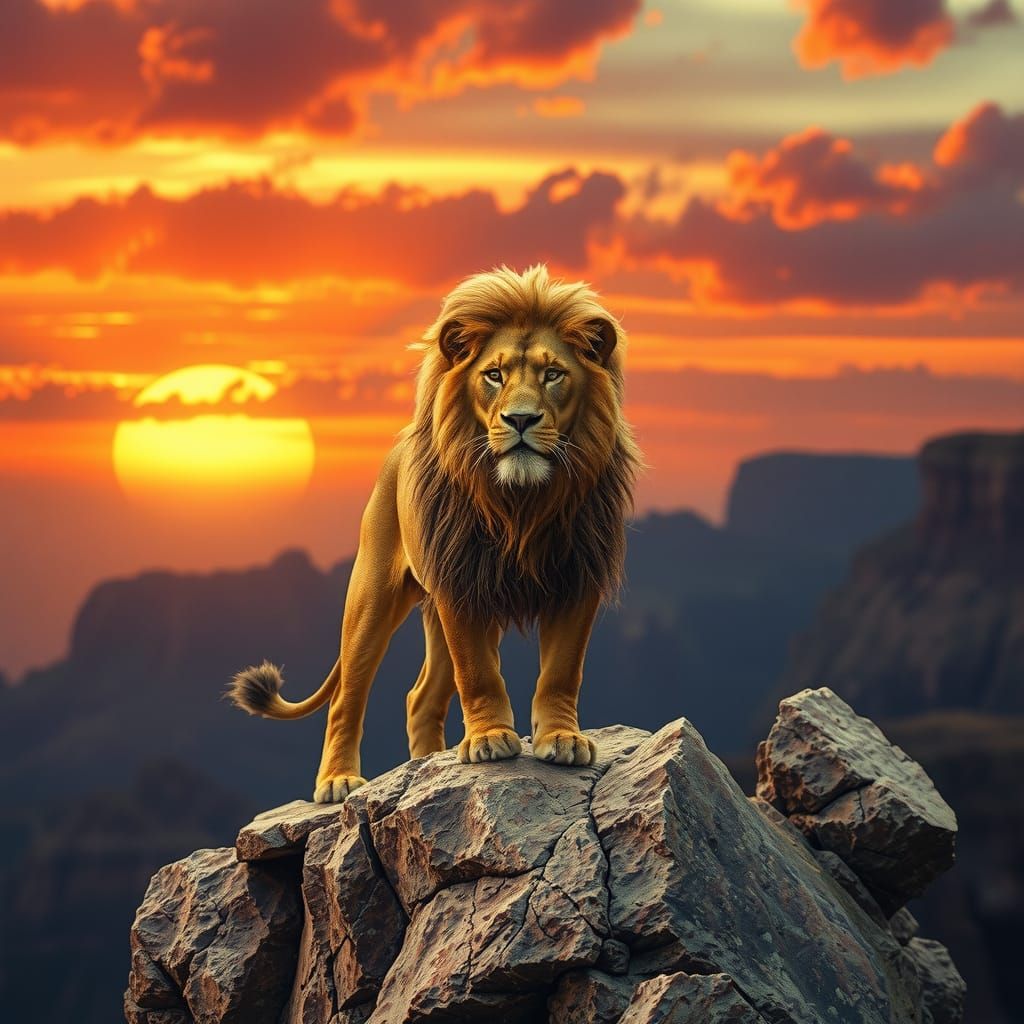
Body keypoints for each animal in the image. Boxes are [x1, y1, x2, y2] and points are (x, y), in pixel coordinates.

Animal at [228, 264, 642, 803]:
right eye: (494, 375)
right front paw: (489, 739)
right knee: (347, 695)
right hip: (372, 599)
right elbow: (479, 674)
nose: (521, 419)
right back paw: (338, 781)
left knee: (420, 698)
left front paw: (562, 738)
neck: (523, 503)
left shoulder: (577, 578)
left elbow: (561, 671)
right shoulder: (460, 585)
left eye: (554, 374)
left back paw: (426, 766)